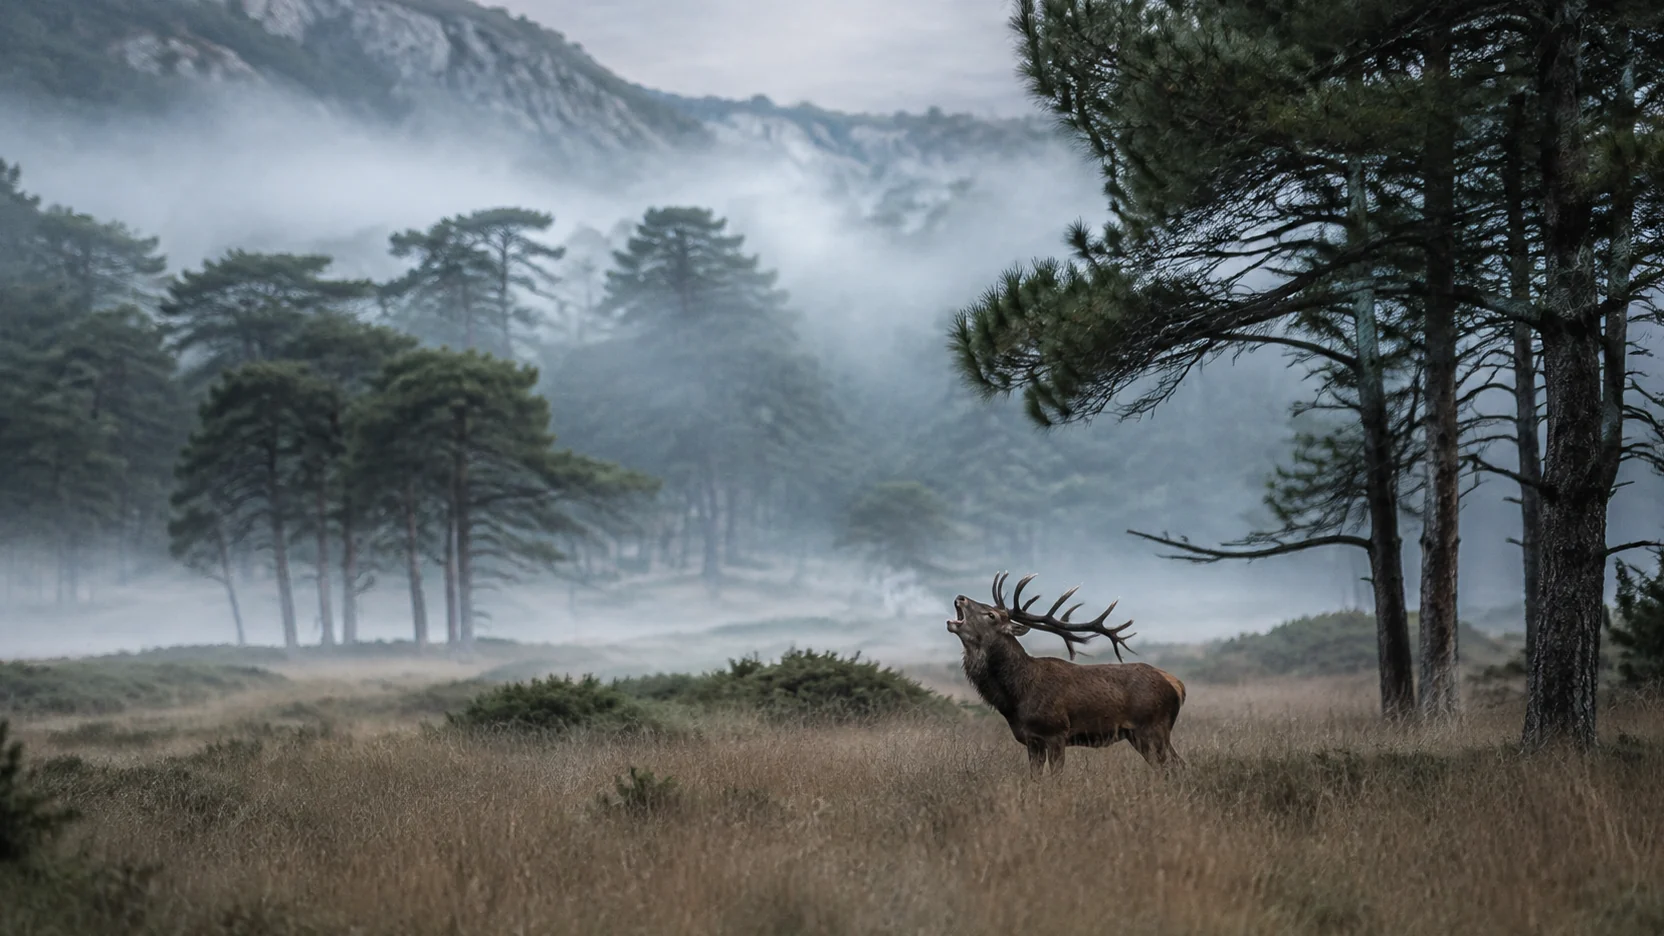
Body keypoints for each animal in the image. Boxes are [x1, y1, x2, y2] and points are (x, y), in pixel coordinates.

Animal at [946, 572, 1186, 773]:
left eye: (991, 615)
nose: (960, 597)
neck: (1017, 696)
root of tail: (1177, 684)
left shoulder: (1056, 732)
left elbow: (1056, 777)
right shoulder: (1031, 740)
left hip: (1153, 728)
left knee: (1176, 765)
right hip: (1138, 734)